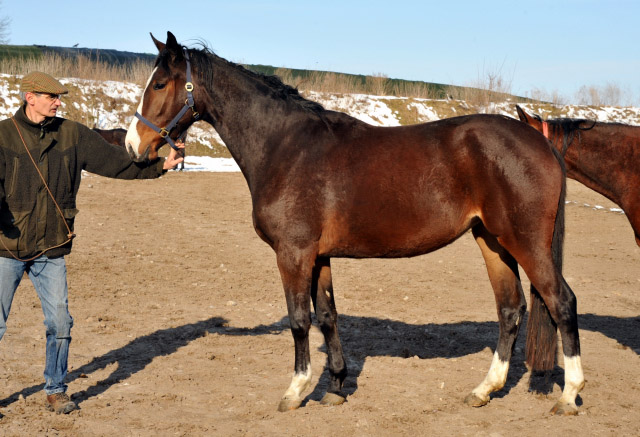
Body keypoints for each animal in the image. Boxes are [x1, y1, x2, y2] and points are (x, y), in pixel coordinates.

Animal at [125, 32, 584, 414]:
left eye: (160, 84)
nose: (133, 144)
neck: (286, 147)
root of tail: (540, 142)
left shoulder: (294, 254)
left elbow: (299, 320)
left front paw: (295, 391)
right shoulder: (319, 256)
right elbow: (327, 316)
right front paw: (335, 387)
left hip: (525, 242)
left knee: (561, 302)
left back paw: (569, 395)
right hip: (492, 241)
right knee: (510, 309)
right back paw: (484, 390)